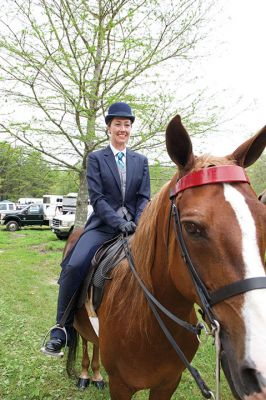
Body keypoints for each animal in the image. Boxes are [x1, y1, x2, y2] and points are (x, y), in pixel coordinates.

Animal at [67, 114, 266, 398]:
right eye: (191, 227)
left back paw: (95, 374)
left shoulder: (168, 382)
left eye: (263, 219)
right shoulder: (120, 385)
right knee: (85, 340)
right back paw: (86, 374)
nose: (259, 369)